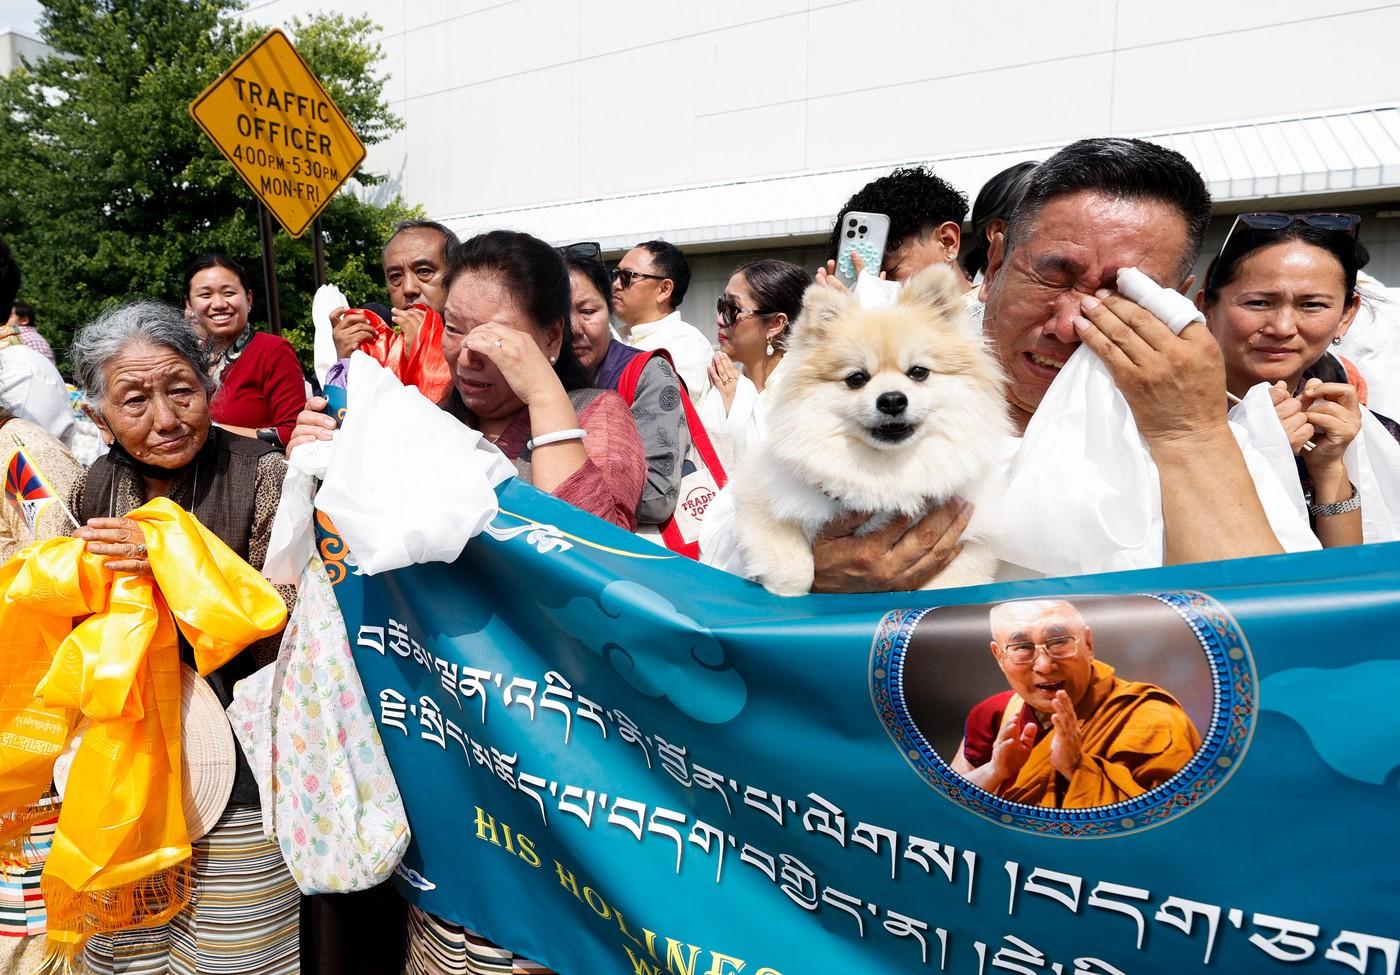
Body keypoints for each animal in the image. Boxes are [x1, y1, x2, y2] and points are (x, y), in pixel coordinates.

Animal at [728, 263, 1013, 593]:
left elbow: (953, 582)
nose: (892, 400)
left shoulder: (970, 529)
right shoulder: (758, 491)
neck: (885, 473)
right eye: (856, 378)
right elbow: (793, 562)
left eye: (918, 372)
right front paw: (784, 590)